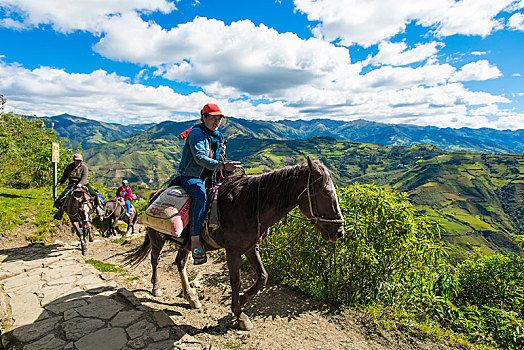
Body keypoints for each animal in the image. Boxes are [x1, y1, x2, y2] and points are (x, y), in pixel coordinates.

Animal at [125, 157, 346, 330]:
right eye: (326, 193)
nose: (339, 232)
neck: (250, 204)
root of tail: (154, 195)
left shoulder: (250, 248)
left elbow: (263, 277)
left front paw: (242, 299)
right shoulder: (233, 251)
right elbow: (236, 281)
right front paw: (239, 314)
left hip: (186, 243)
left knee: (180, 263)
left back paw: (191, 297)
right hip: (157, 236)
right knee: (154, 260)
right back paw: (156, 288)